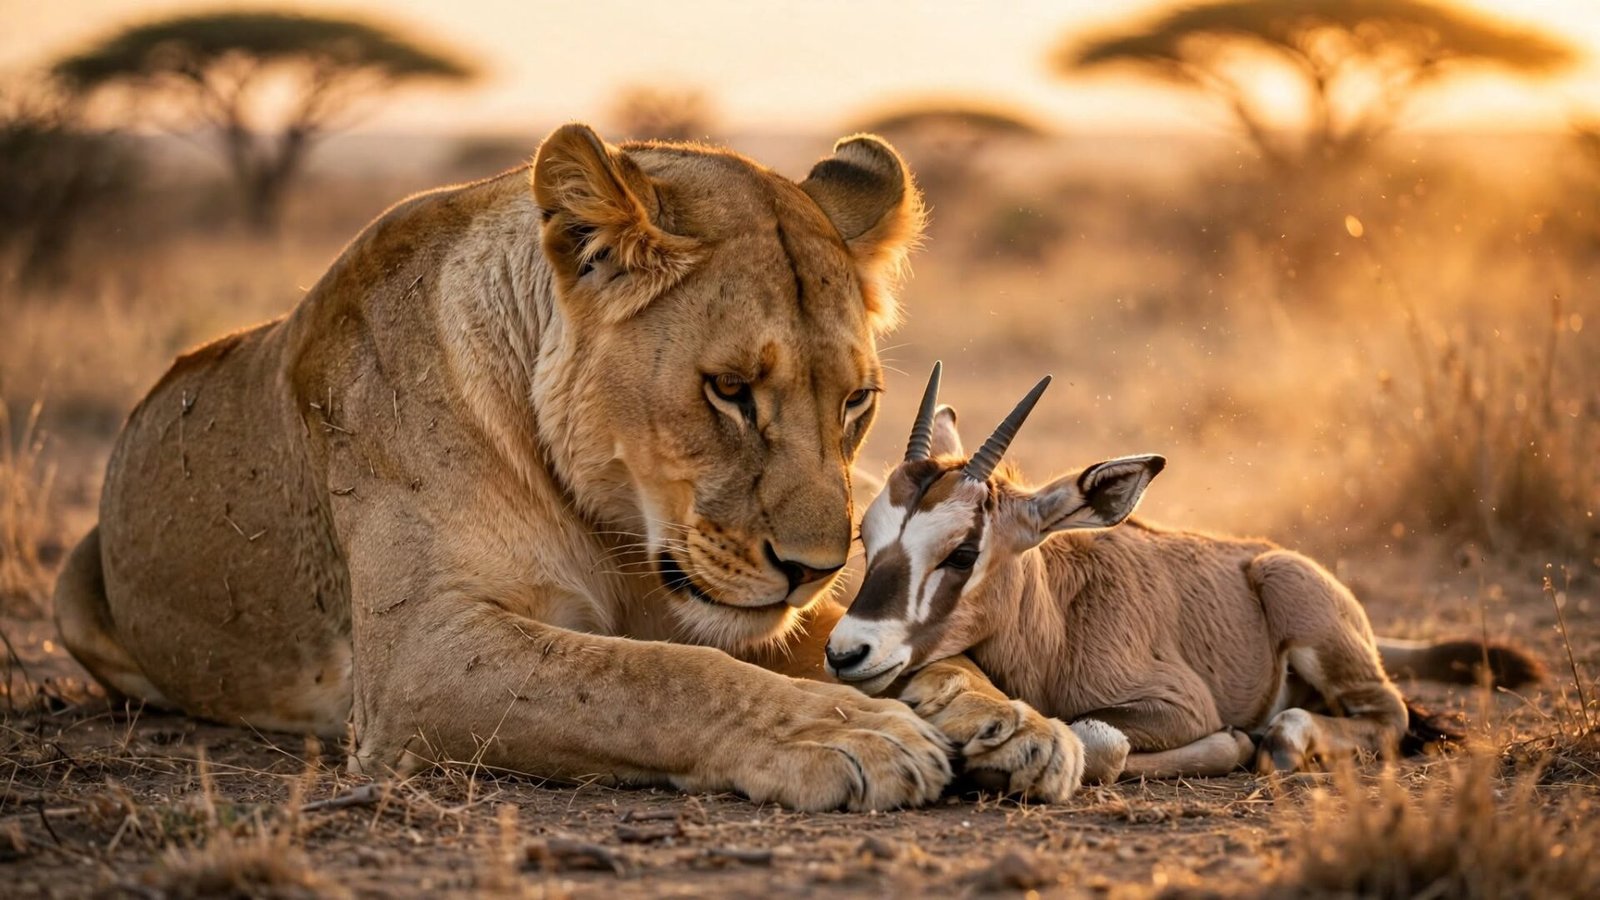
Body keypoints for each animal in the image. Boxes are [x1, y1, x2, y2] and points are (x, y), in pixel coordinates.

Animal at [53, 124, 1083, 810]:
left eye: (856, 402)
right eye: (730, 390)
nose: (817, 568)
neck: (613, 523)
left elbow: (836, 643)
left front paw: (1007, 720)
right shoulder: (418, 657)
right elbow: (655, 678)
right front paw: (853, 732)